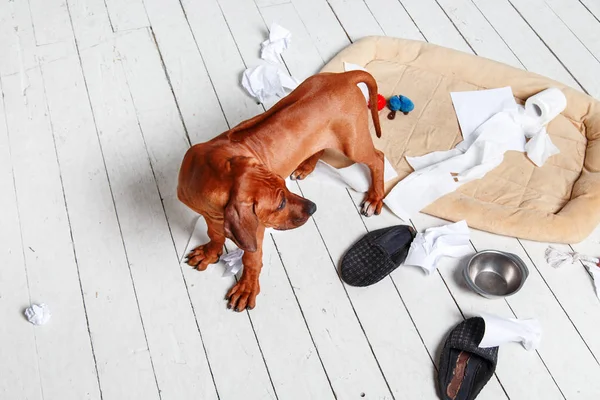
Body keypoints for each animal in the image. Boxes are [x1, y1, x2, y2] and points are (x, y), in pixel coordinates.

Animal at [178, 70, 384, 310]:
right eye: (281, 204)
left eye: (285, 188)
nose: (313, 208)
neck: (211, 171)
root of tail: (345, 77)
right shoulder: (210, 215)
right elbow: (215, 234)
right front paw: (210, 253)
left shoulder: (255, 230)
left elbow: (251, 258)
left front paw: (247, 288)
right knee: (320, 147)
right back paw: (305, 166)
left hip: (353, 145)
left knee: (378, 158)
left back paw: (375, 198)